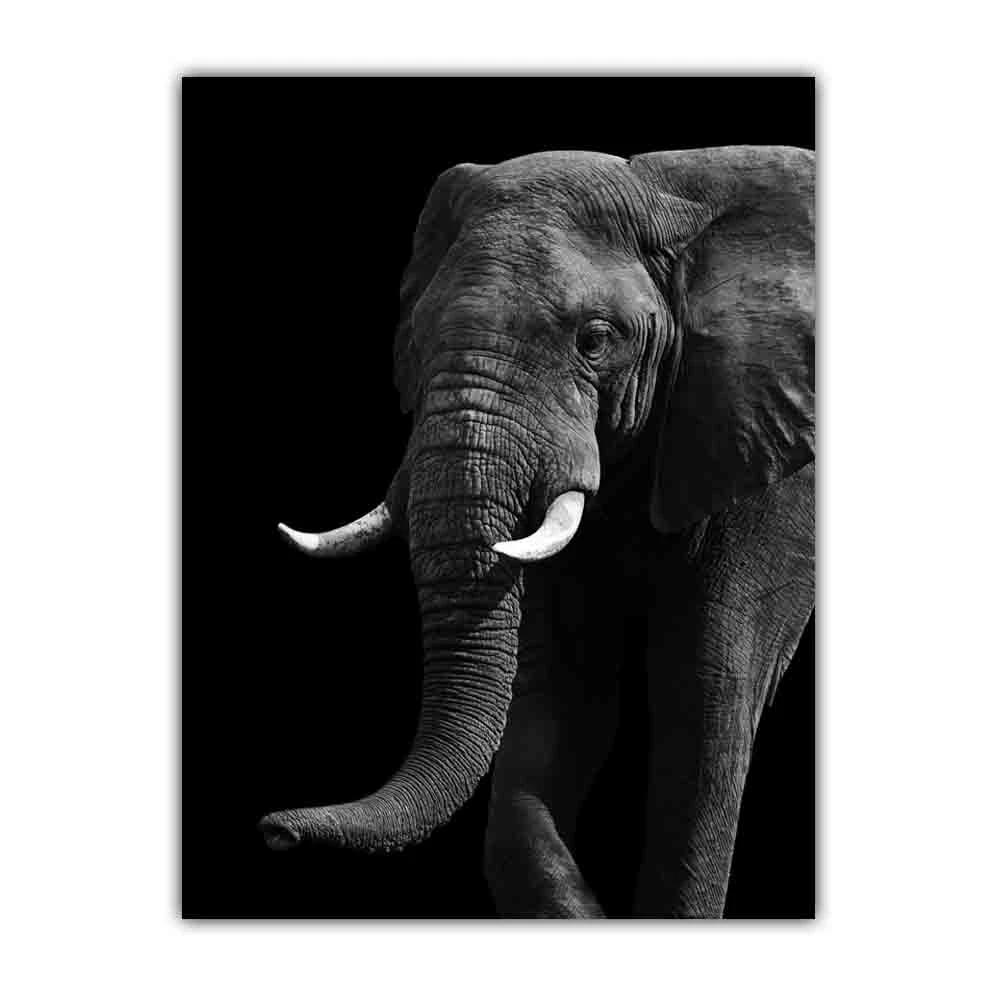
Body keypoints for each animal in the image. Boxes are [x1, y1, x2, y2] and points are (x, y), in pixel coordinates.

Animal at [258, 145, 815, 918]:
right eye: (416, 340)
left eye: (597, 340)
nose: (274, 832)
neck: (670, 192)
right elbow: (564, 687)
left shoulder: (766, 435)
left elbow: (704, 677)